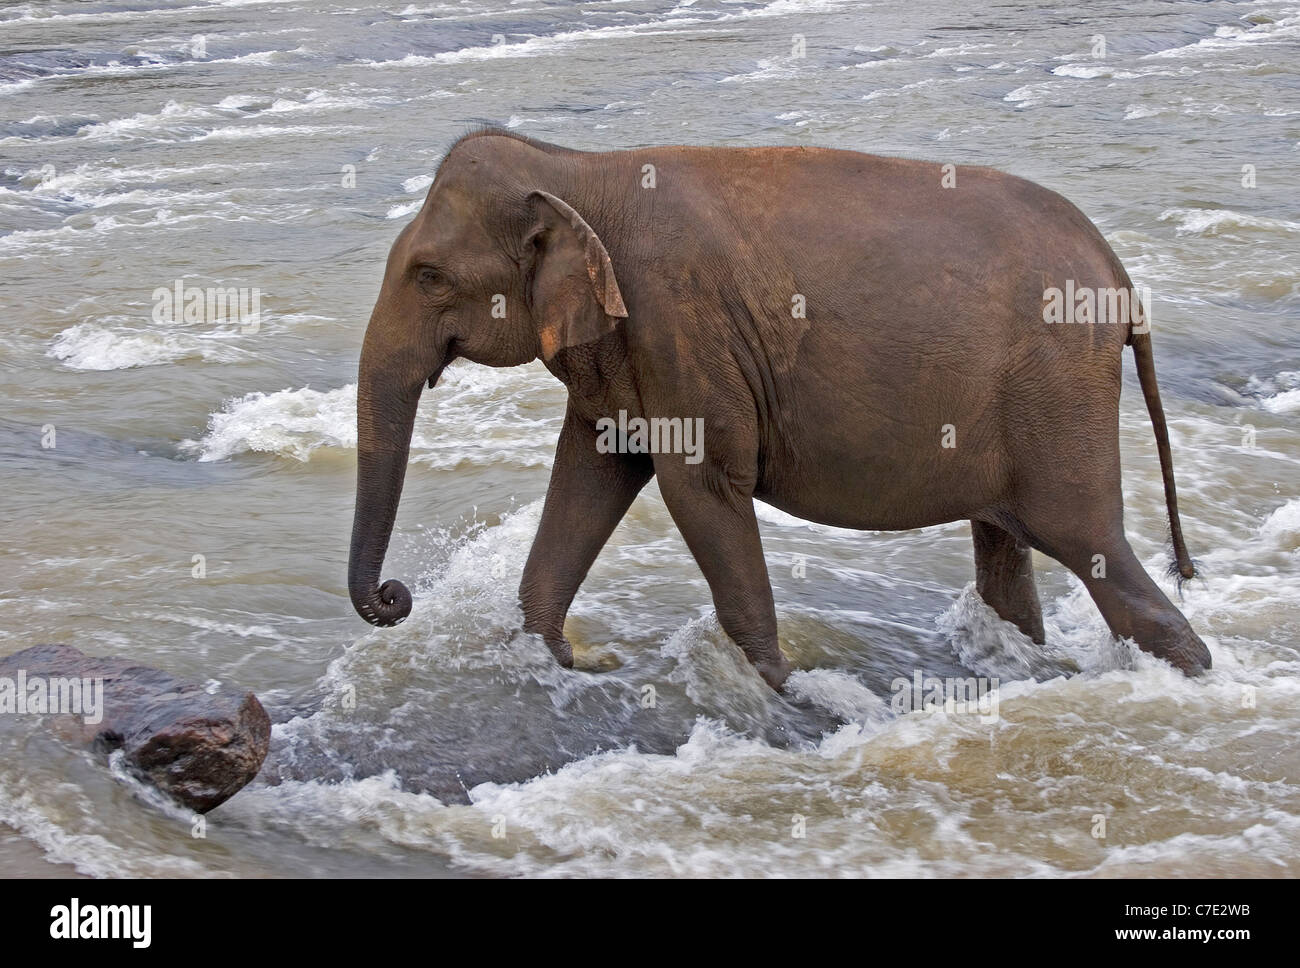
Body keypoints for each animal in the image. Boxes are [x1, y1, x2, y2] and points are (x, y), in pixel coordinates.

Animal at [348, 128, 1211, 690]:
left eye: (428, 276)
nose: (395, 597)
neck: (579, 170)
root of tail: (1119, 276)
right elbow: (594, 472)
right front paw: (554, 663)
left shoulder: (679, 327)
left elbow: (699, 487)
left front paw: (781, 689)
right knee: (1008, 552)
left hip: (1057, 388)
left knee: (1089, 544)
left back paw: (1190, 673)